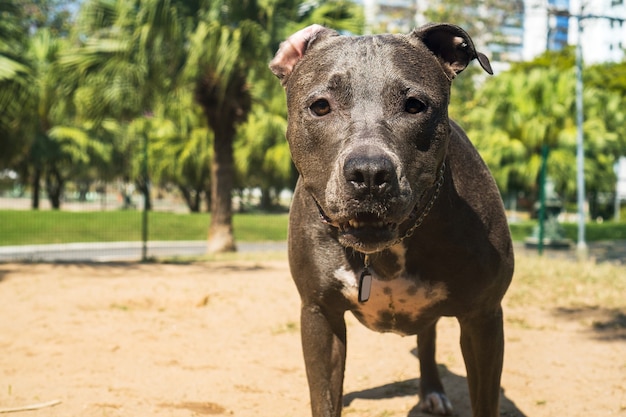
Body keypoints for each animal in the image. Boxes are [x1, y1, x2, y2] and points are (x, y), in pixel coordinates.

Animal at [268, 23, 512, 416]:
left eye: (415, 106)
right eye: (320, 106)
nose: (368, 172)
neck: (385, 252)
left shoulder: (483, 318)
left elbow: (485, 400)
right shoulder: (320, 315)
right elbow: (324, 397)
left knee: (427, 340)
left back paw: (432, 390)